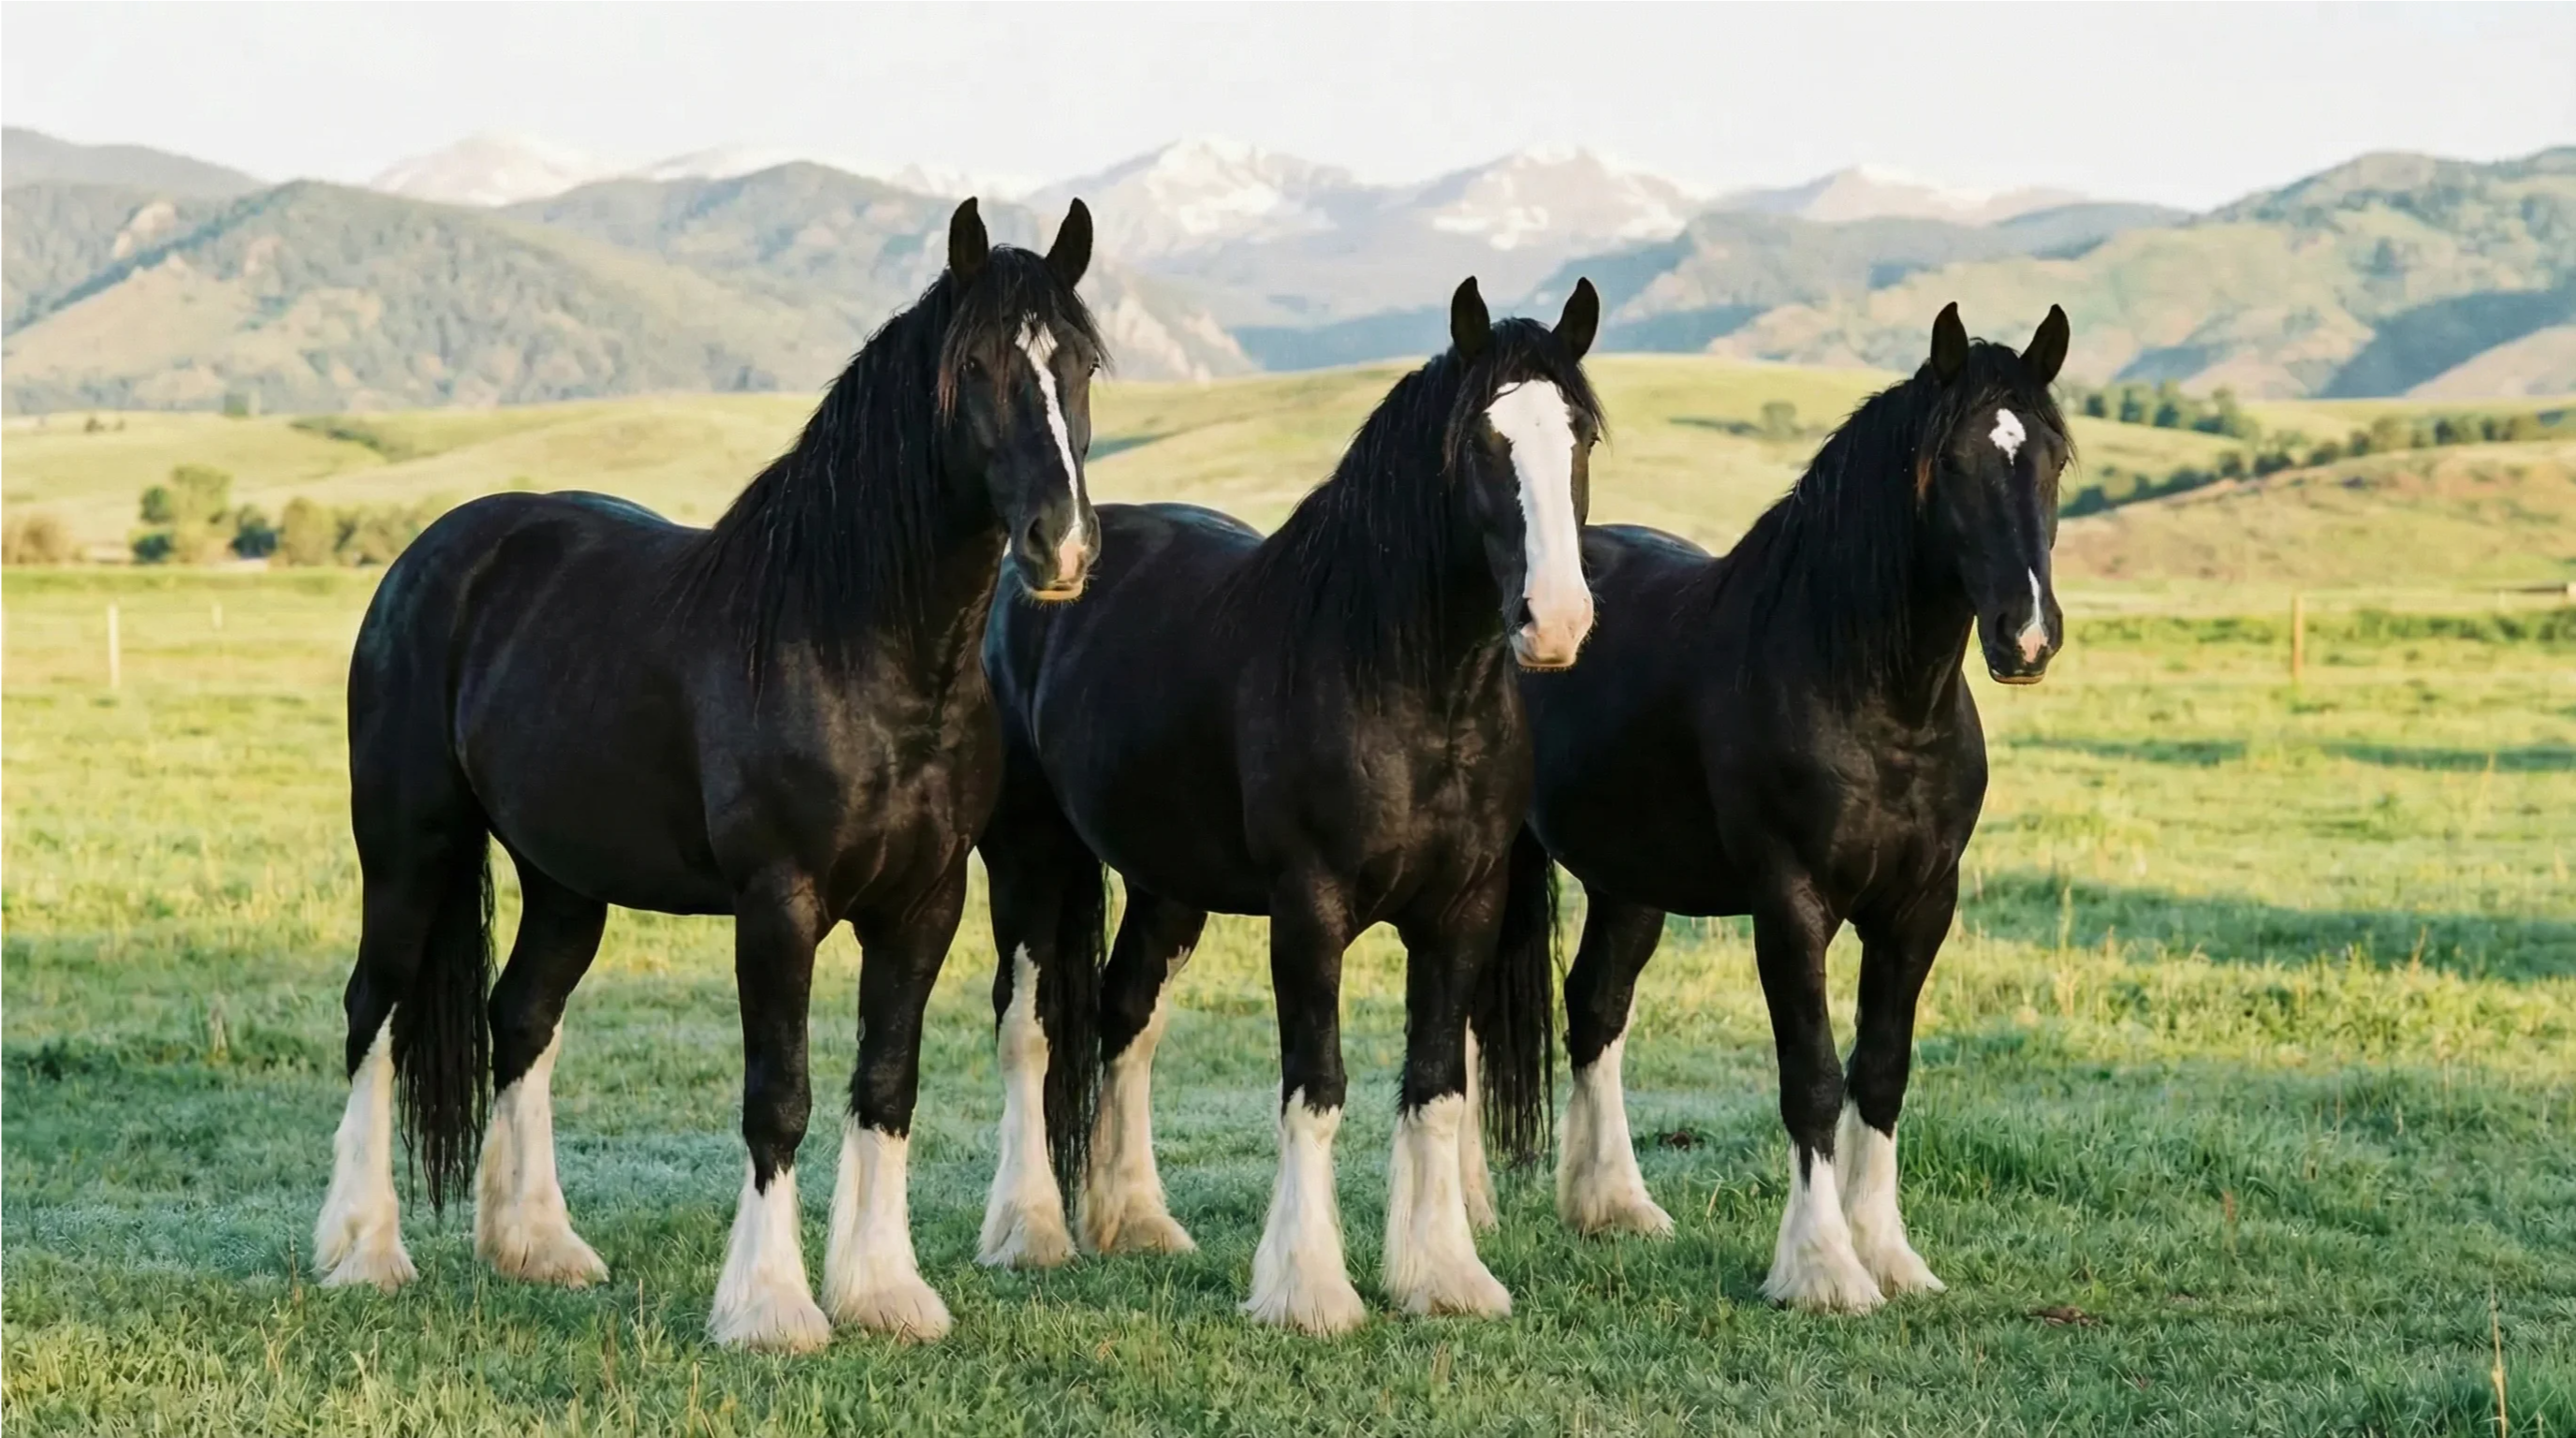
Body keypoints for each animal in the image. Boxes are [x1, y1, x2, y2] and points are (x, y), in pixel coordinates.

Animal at [310, 197, 1106, 1352]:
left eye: (1080, 363)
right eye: (975, 365)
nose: (1062, 545)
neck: (856, 645)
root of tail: (434, 554)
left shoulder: (925, 904)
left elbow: (886, 1085)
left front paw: (883, 1290)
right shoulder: (778, 905)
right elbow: (780, 1096)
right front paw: (770, 1305)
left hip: (566, 880)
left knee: (520, 1018)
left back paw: (537, 1245)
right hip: (410, 849)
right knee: (374, 1010)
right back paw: (363, 1249)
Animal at [972, 277, 1606, 1333]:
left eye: (1581, 438)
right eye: (1483, 442)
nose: (1553, 620)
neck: (1402, 684)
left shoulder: (1462, 910)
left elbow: (1436, 1086)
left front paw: (1443, 1275)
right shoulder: (1309, 911)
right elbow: (1317, 1085)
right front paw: (1308, 1288)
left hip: (1168, 885)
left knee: (1124, 1018)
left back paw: (1134, 1219)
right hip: (1031, 857)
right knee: (1031, 1026)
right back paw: (1029, 1231)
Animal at [1518, 302, 2071, 1312]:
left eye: (2052, 458)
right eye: (1953, 463)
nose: (2026, 638)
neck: (1873, 698)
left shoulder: (1920, 907)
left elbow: (1880, 1073)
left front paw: (1889, 1254)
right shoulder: (1791, 905)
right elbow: (1811, 1077)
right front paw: (1823, 1269)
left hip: (1630, 881)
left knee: (1596, 1005)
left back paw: (1613, 1205)